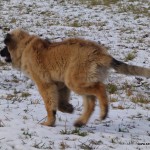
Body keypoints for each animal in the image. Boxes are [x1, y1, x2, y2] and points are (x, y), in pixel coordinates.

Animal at [2, 28, 150, 127]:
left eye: (4, 47)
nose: (0, 52)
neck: (26, 46)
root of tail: (100, 54)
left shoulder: (45, 84)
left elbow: (50, 105)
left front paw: (49, 122)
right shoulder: (61, 84)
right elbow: (60, 103)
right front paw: (68, 108)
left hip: (75, 81)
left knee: (100, 88)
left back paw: (103, 112)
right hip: (79, 80)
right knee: (91, 102)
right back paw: (81, 121)